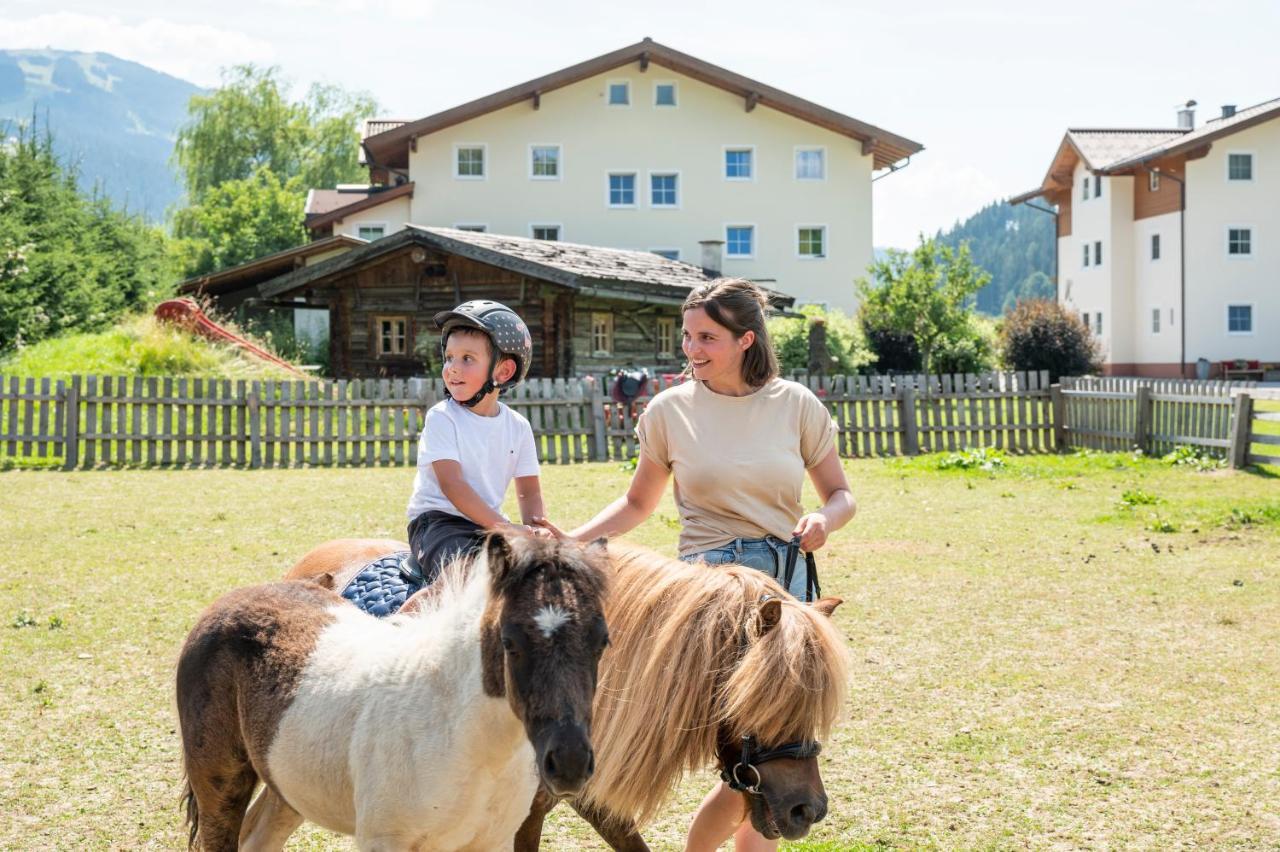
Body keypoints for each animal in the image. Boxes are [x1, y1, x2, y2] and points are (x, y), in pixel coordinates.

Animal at [179, 527, 609, 844]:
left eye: (602, 641)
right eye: (510, 642)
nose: (569, 763)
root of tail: (230, 601)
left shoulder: (494, 841)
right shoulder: (385, 839)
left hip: (289, 785)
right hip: (219, 787)